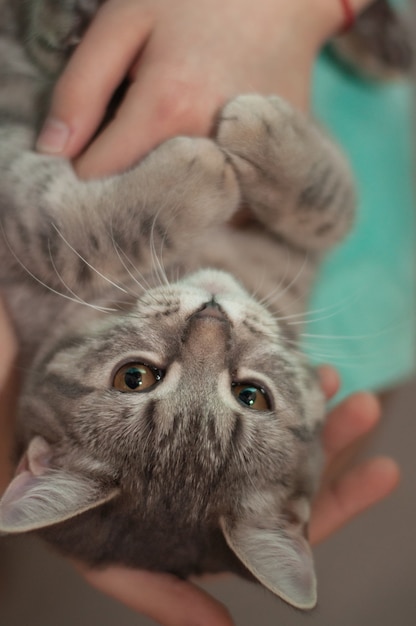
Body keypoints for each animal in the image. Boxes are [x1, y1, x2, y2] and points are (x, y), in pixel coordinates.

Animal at [0, 0, 360, 608]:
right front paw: (201, 175)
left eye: (251, 395)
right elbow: (54, 225)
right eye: (135, 378)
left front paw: (267, 140)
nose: (210, 319)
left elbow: (333, 207)